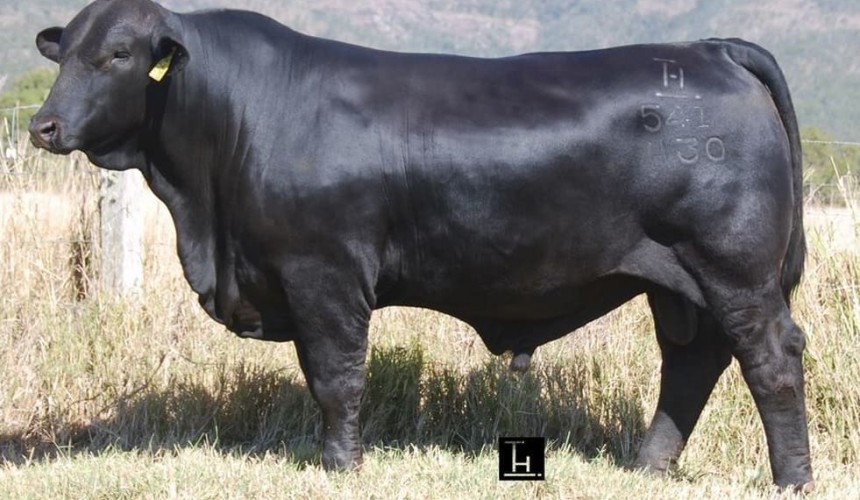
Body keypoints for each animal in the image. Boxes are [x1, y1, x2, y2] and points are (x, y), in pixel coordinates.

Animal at [29, 0, 811, 490]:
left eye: (118, 55)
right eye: (64, 55)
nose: (43, 126)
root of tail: (710, 49)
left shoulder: (324, 272)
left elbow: (336, 377)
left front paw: (341, 466)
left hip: (735, 269)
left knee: (771, 362)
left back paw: (792, 480)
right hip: (677, 281)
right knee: (692, 363)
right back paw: (648, 467)